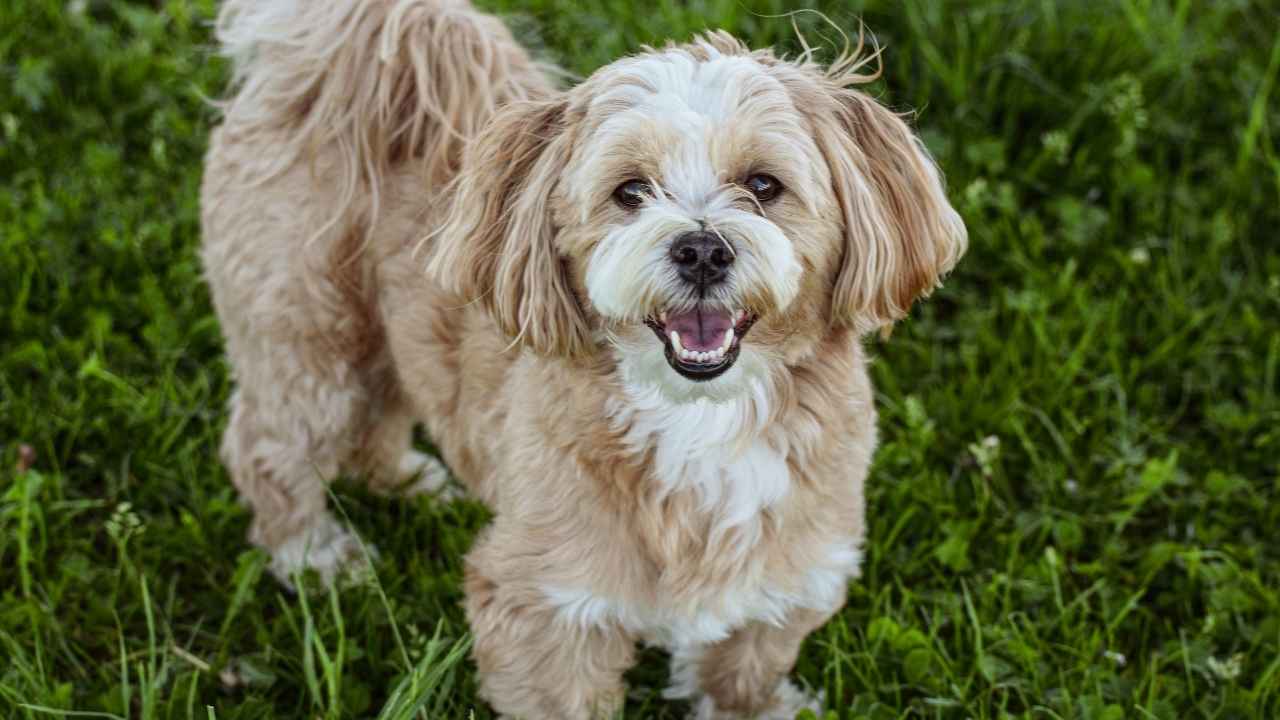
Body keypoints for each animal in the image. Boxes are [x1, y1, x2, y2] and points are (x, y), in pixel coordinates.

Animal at [199, 2, 962, 712]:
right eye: (631, 192)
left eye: (764, 185)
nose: (702, 249)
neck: (700, 420)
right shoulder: (543, 607)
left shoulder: (785, 579)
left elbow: (742, 669)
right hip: (308, 335)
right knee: (269, 445)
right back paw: (314, 555)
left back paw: (411, 481)